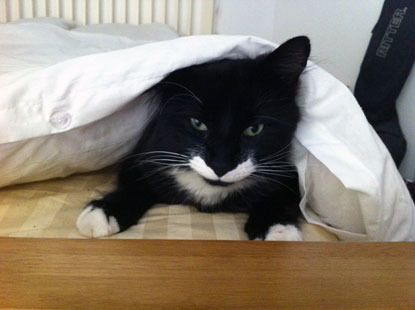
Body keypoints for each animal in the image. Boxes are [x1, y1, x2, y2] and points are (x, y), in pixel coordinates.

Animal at [76, 35, 310, 240]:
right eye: (197, 123)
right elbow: (135, 184)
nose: (221, 165)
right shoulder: (141, 153)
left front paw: (277, 228)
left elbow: (282, 195)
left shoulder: (291, 172)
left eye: (254, 129)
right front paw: (104, 212)